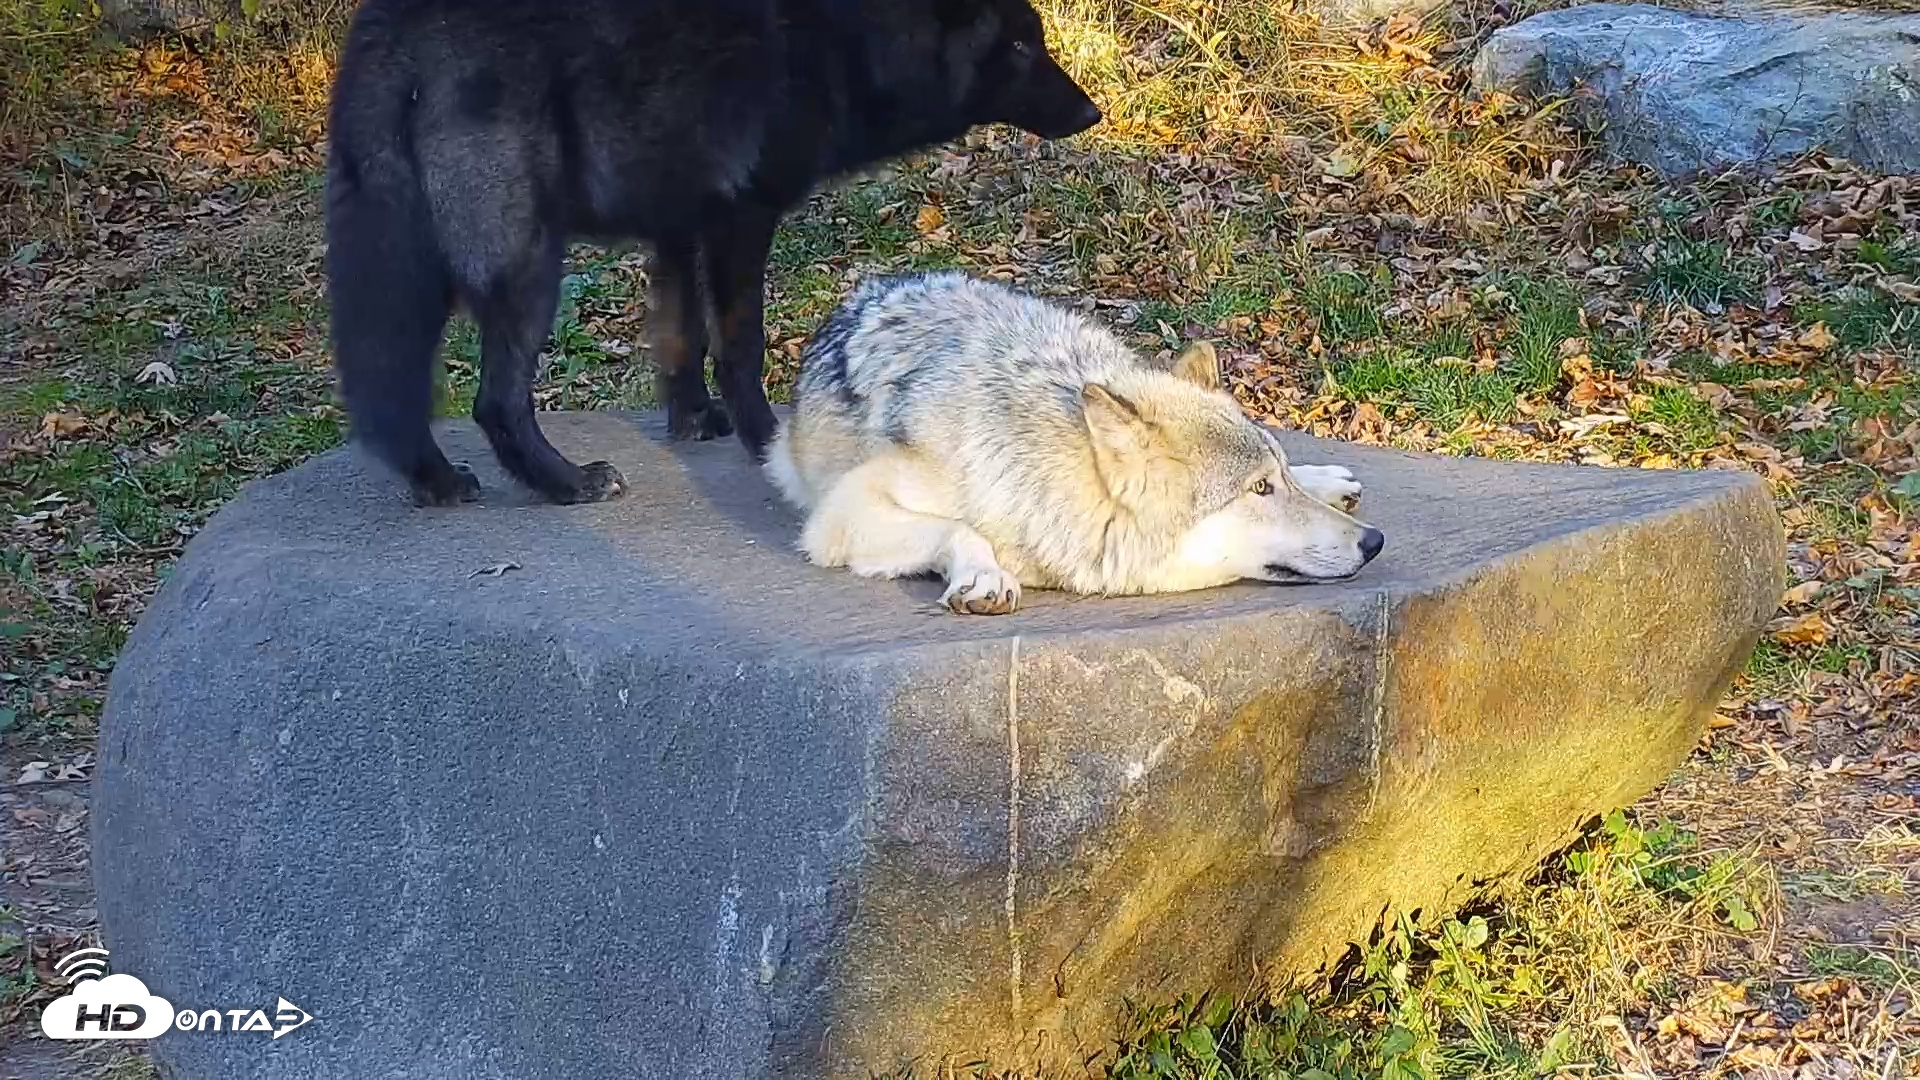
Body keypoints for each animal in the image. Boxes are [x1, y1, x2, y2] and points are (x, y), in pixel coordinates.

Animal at [325, 0, 1100, 507]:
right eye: (1023, 47)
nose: (1095, 112)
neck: (843, 40)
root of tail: (391, 34)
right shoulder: (741, 220)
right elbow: (739, 345)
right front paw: (766, 440)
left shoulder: (677, 228)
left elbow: (680, 339)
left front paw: (694, 421)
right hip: (527, 271)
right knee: (494, 401)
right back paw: (567, 484)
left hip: (413, 279)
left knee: (391, 395)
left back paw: (437, 483)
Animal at [765, 272, 1387, 614]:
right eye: (1258, 490)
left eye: (1273, 480)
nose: (1375, 541)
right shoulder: (843, 513)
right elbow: (961, 528)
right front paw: (985, 575)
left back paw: (1331, 481)